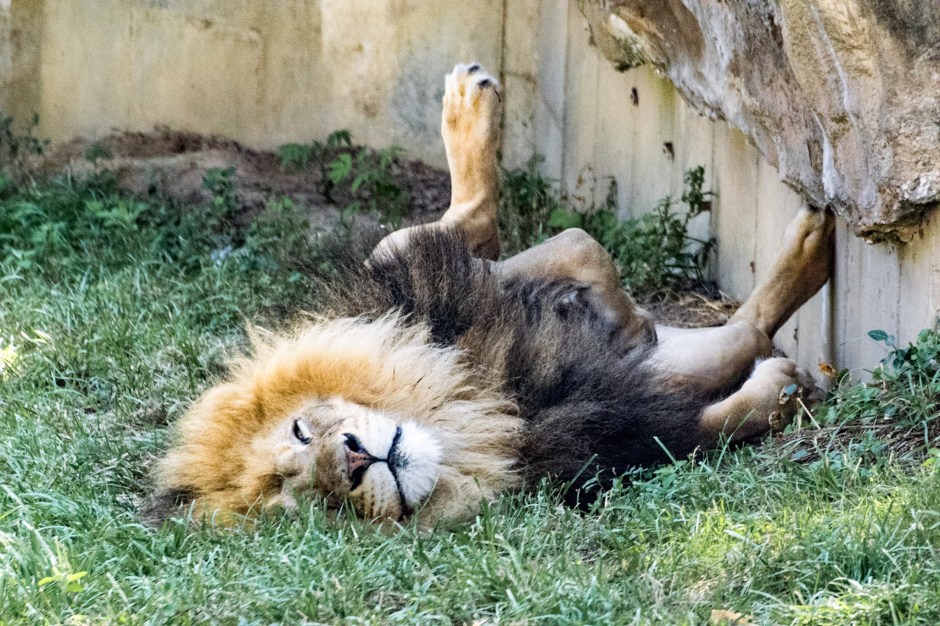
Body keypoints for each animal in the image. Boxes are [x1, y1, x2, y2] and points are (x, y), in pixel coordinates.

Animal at [145, 63, 834, 527]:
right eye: (308, 502)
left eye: (299, 431)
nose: (353, 463)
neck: (467, 419)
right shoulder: (609, 437)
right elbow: (721, 401)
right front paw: (785, 386)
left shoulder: (434, 308)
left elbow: (575, 243)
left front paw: (624, 314)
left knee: (440, 232)